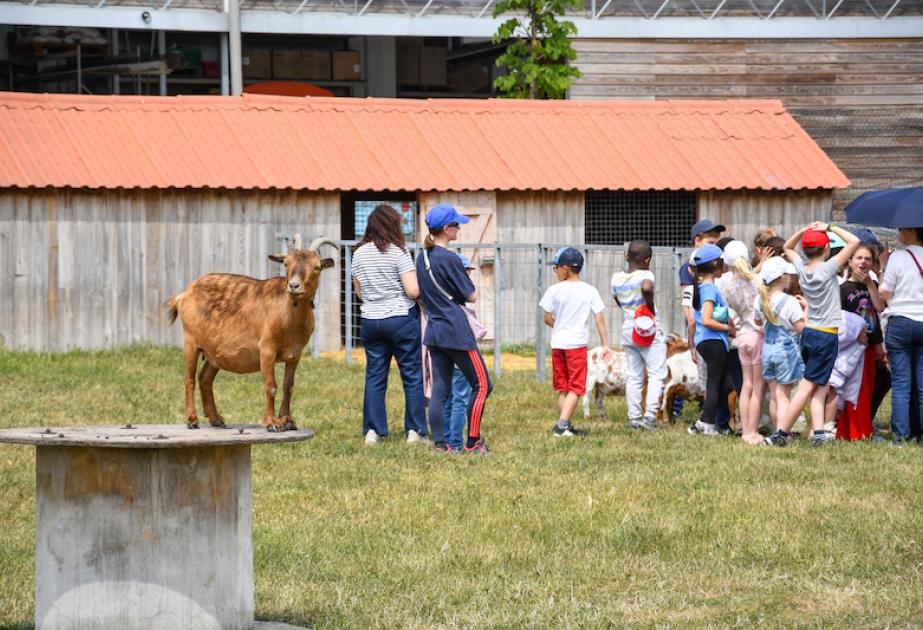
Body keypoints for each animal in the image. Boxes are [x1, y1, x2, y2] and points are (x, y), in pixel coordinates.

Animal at [168, 239, 338, 432]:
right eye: (286, 264)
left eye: (316, 267)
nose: (294, 286)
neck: (288, 314)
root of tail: (184, 294)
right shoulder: (267, 349)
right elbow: (271, 386)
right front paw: (272, 423)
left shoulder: (295, 354)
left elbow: (288, 386)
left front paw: (288, 421)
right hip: (191, 341)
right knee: (189, 379)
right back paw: (192, 420)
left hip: (213, 352)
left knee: (205, 379)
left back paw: (216, 419)